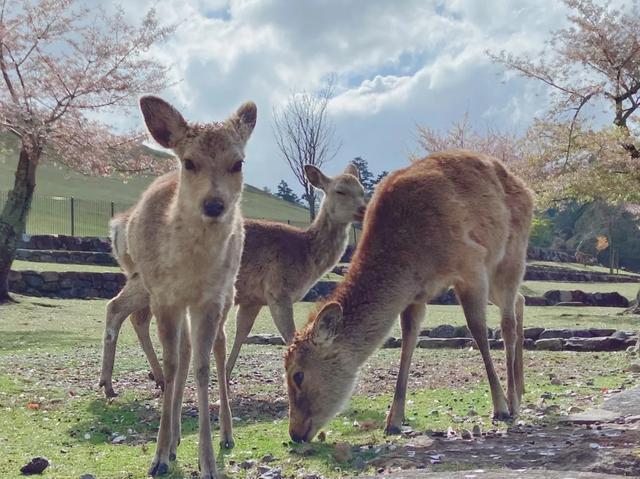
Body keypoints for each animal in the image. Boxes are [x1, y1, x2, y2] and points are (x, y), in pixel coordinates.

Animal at [98, 165, 368, 398]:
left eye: (362, 189)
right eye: (340, 190)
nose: (364, 209)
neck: (306, 258)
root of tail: (119, 226)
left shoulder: (253, 298)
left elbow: (242, 332)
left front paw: (226, 378)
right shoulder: (277, 290)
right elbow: (290, 334)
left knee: (135, 317)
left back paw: (155, 379)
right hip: (153, 276)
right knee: (116, 307)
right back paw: (110, 385)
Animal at [105, 95, 255, 478]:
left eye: (238, 162)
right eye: (189, 162)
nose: (214, 204)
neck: (189, 270)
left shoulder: (210, 300)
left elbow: (202, 368)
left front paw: (208, 463)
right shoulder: (164, 297)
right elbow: (173, 365)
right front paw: (159, 456)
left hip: (228, 294)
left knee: (217, 349)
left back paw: (226, 435)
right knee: (180, 352)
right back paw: (172, 441)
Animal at [282, 150, 532, 442]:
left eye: (298, 375)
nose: (295, 432)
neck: (410, 255)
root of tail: (525, 187)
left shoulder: (470, 264)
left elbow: (478, 330)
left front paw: (499, 406)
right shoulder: (415, 295)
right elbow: (408, 340)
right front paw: (393, 420)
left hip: (511, 254)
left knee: (507, 323)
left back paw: (513, 400)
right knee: (519, 300)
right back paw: (521, 389)